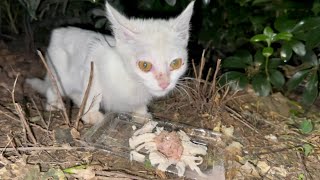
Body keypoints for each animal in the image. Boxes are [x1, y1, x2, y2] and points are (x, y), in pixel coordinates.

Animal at [25, 0, 195, 124]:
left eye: (176, 63)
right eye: (145, 65)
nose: (164, 83)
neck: (133, 82)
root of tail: (58, 32)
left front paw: (141, 112)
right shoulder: (94, 58)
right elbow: (92, 89)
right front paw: (91, 114)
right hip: (59, 72)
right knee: (53, 87)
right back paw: (55, 103)